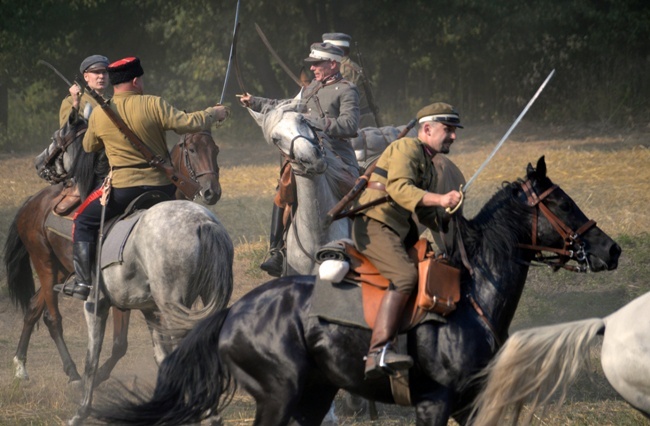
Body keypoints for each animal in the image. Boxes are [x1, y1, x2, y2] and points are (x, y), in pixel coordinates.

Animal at [4, 131, 228, 392]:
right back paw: (70, 373)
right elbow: (121, 344)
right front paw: (98, 376)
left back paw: (22, 365)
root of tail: (31, 203)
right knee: (54, 319)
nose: (212, 191)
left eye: (215, 150)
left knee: (34, 310)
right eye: (191, 150)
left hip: (59, 269)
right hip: (45, 264)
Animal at [93, 157, 620, 426]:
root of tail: (234, 311)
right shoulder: (434, 404)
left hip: (310, 399)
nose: (610, 249)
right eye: (560, 203)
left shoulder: (469, 405)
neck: (472, 297)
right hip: (279, 398)